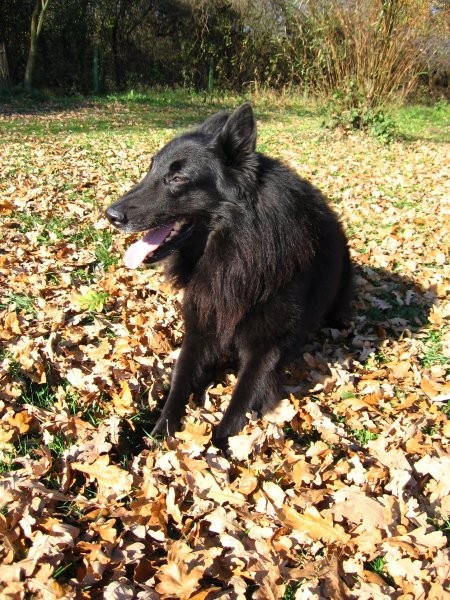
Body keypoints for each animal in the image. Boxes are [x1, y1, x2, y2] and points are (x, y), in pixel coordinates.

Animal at [106, 102, 352, 446]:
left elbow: (235, 414)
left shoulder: (266, 352)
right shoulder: (202, 329)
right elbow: (177, 386)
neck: (234, 249)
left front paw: (216, 447)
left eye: (177, 178)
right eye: (151, 169)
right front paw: (153, 434)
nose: (110, 215)